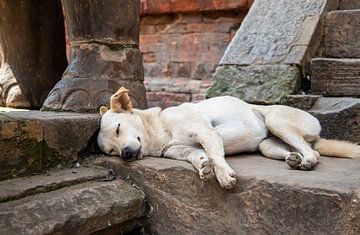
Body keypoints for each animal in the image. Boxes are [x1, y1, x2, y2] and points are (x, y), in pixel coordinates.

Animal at [97, 87, 358, 189]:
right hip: (267, 144)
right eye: (111, 151)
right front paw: (204, 167)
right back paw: (294, 159)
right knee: (301, 150)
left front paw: (223, 175)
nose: (125, 154)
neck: (160, 129)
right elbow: (199, 156)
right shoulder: (181, 151)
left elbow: (215, 154)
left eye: (118, 128)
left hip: (276, 121)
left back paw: (306, 160)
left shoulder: (206, 132)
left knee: (313, 153)